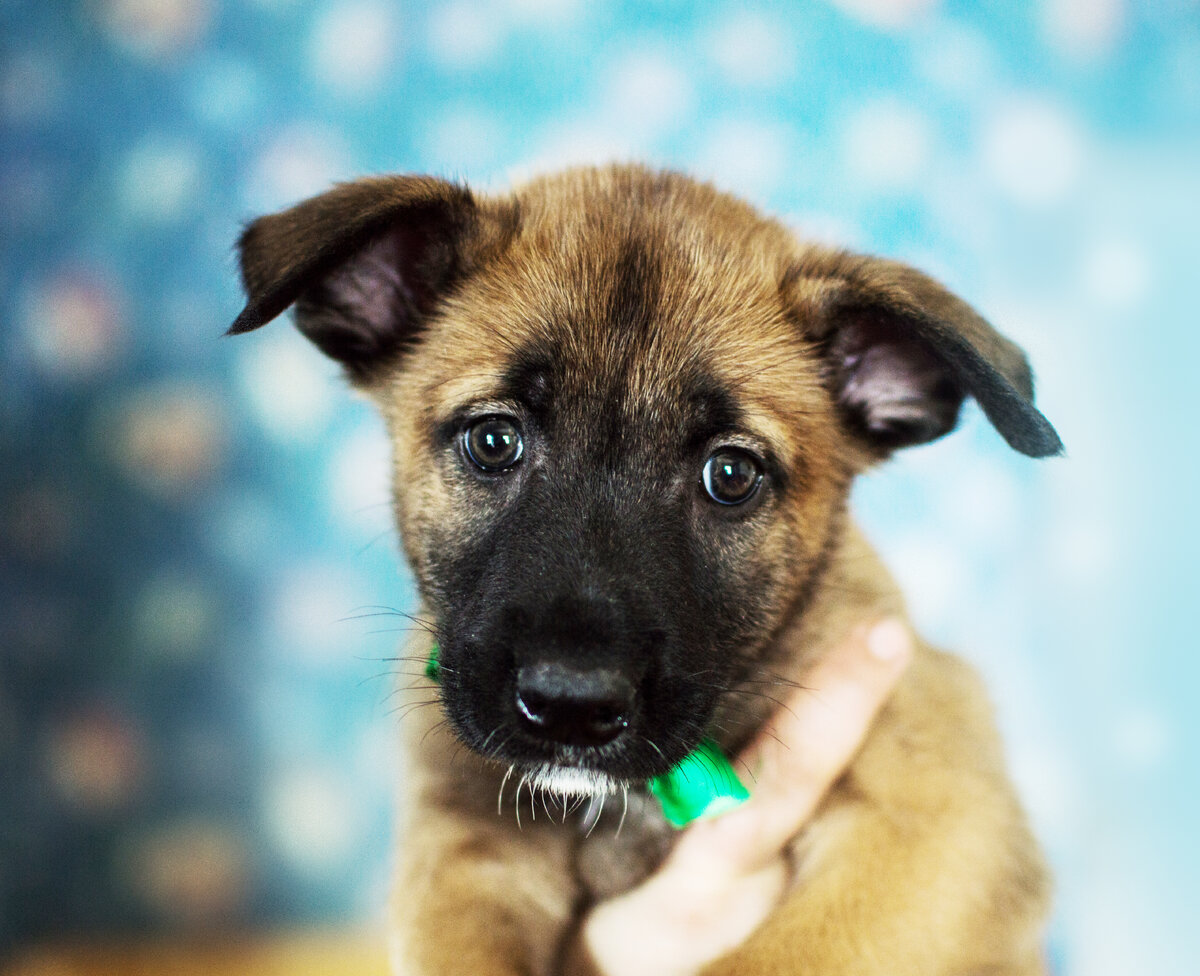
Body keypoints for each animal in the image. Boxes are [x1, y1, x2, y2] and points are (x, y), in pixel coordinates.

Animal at [231, 168, 1060, 974]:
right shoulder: (464, 851)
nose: (571, 704)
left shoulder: (935, 829)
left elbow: (766, 964)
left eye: (731, 474)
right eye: (493, 440)